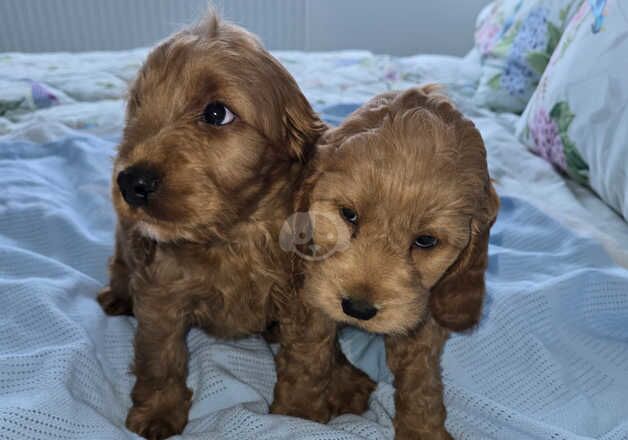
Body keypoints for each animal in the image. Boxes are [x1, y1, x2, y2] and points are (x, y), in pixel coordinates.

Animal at [97, 10, 372, 440]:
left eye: (216, 113)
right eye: (137, 107)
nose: (130, 182)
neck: (234, 235)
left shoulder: (305, 300)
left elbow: (310, 359)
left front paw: (298, 416)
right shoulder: (161, 295)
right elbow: (160, 359)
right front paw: (158, 412)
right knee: (121, 266)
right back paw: (117, 296)